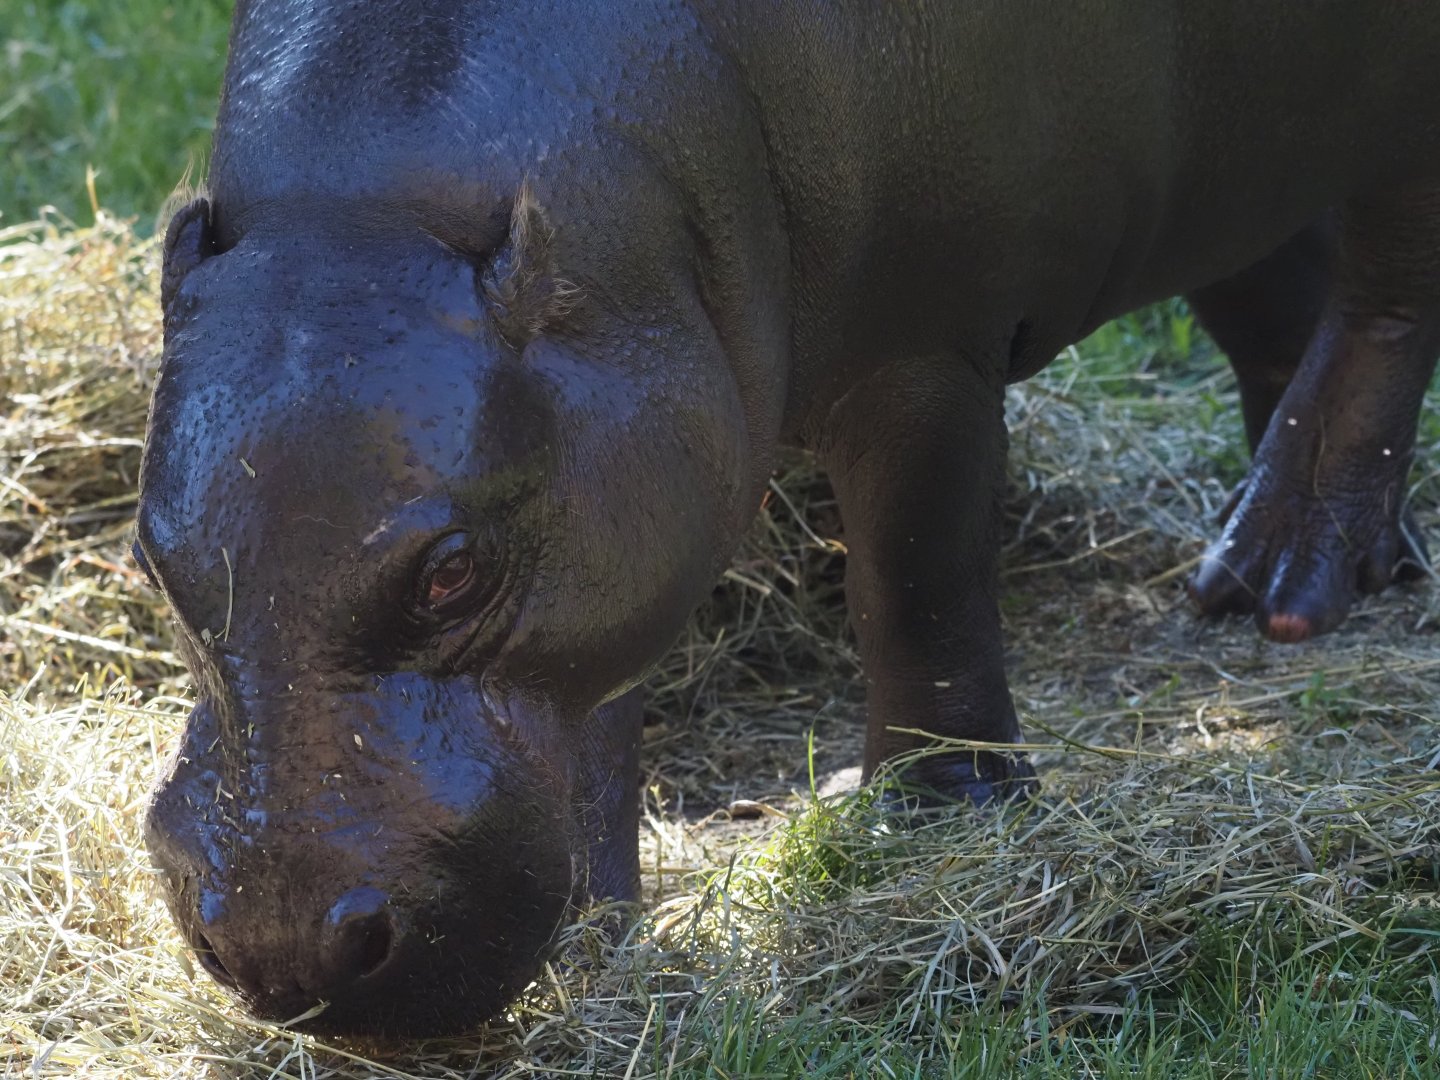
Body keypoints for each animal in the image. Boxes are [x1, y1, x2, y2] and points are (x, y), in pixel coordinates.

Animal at [136, 0, 1440, 1037]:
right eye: (152, 562)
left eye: (452, 571)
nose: (279, 945)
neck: (377, 206)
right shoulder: (622, 466)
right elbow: (600, 696)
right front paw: (603, 928)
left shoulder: (927, 347)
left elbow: (914, 579)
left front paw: (934, 821)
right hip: (1235, 152)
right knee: (1281, 302)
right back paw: (1269, 572)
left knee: (1384, 294)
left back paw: (1297, 587)